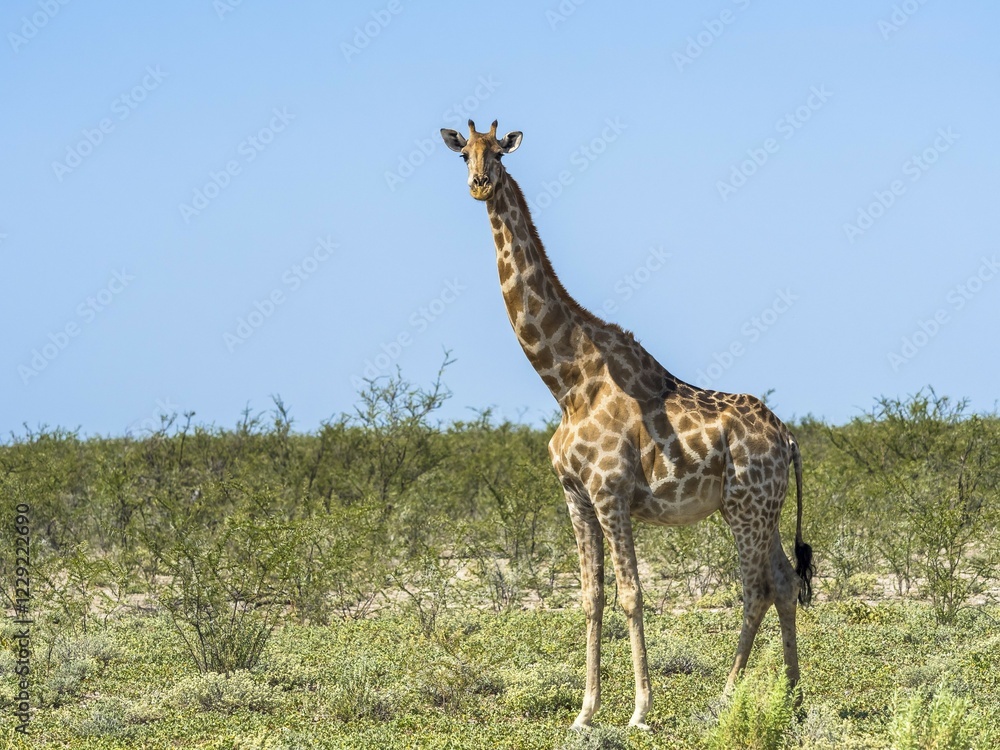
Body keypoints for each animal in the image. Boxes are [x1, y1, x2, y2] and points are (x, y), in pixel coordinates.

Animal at [440, 120, 813, 730]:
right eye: (463, 153)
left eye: (498, 152)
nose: (479, 184)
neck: (567, 381)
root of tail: (787, 437)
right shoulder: (575, 494)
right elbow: (590, 596)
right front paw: (585, 711)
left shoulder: (610, 491)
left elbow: (631, 594)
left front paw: (640, 709)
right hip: (764, 506)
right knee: (783, 581)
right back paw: (793, 700)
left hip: (746, 506)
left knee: (756, 586)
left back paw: (726, 698)